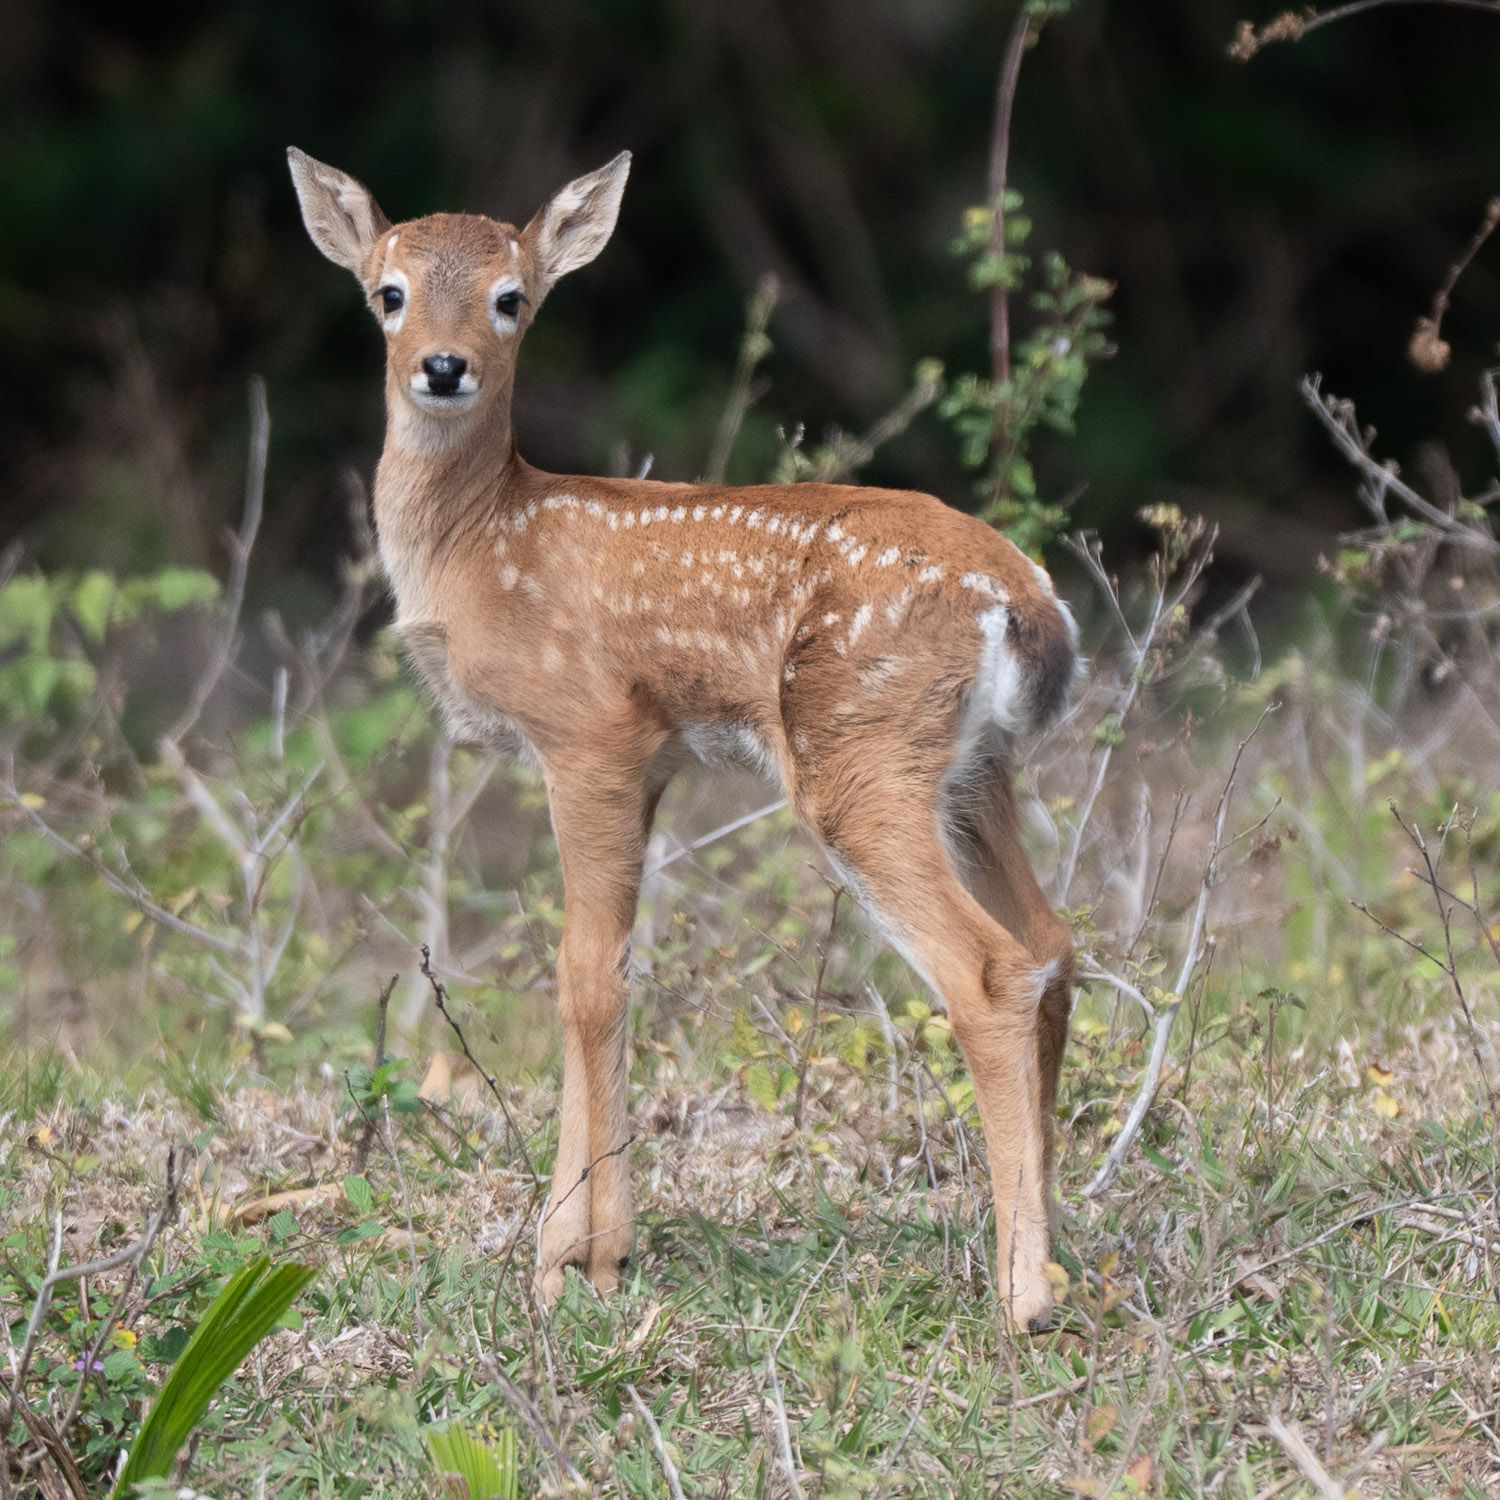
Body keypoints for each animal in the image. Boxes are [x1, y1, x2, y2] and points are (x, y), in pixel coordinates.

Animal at [288, 144, 1078, 1331]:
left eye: (510, 298)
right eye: (388, 292)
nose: (442, 365)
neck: (482, 551)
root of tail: (1024, 600)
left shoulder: (589, 731)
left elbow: (583, 976)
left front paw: (567, 1261)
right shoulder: (653, 755)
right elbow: (617, 964)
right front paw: (598, 1250)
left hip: (856, 750)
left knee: (988, 969)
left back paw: (1019, 1293)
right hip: (974, 767)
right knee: (1055, 944)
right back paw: (1066, 1259)